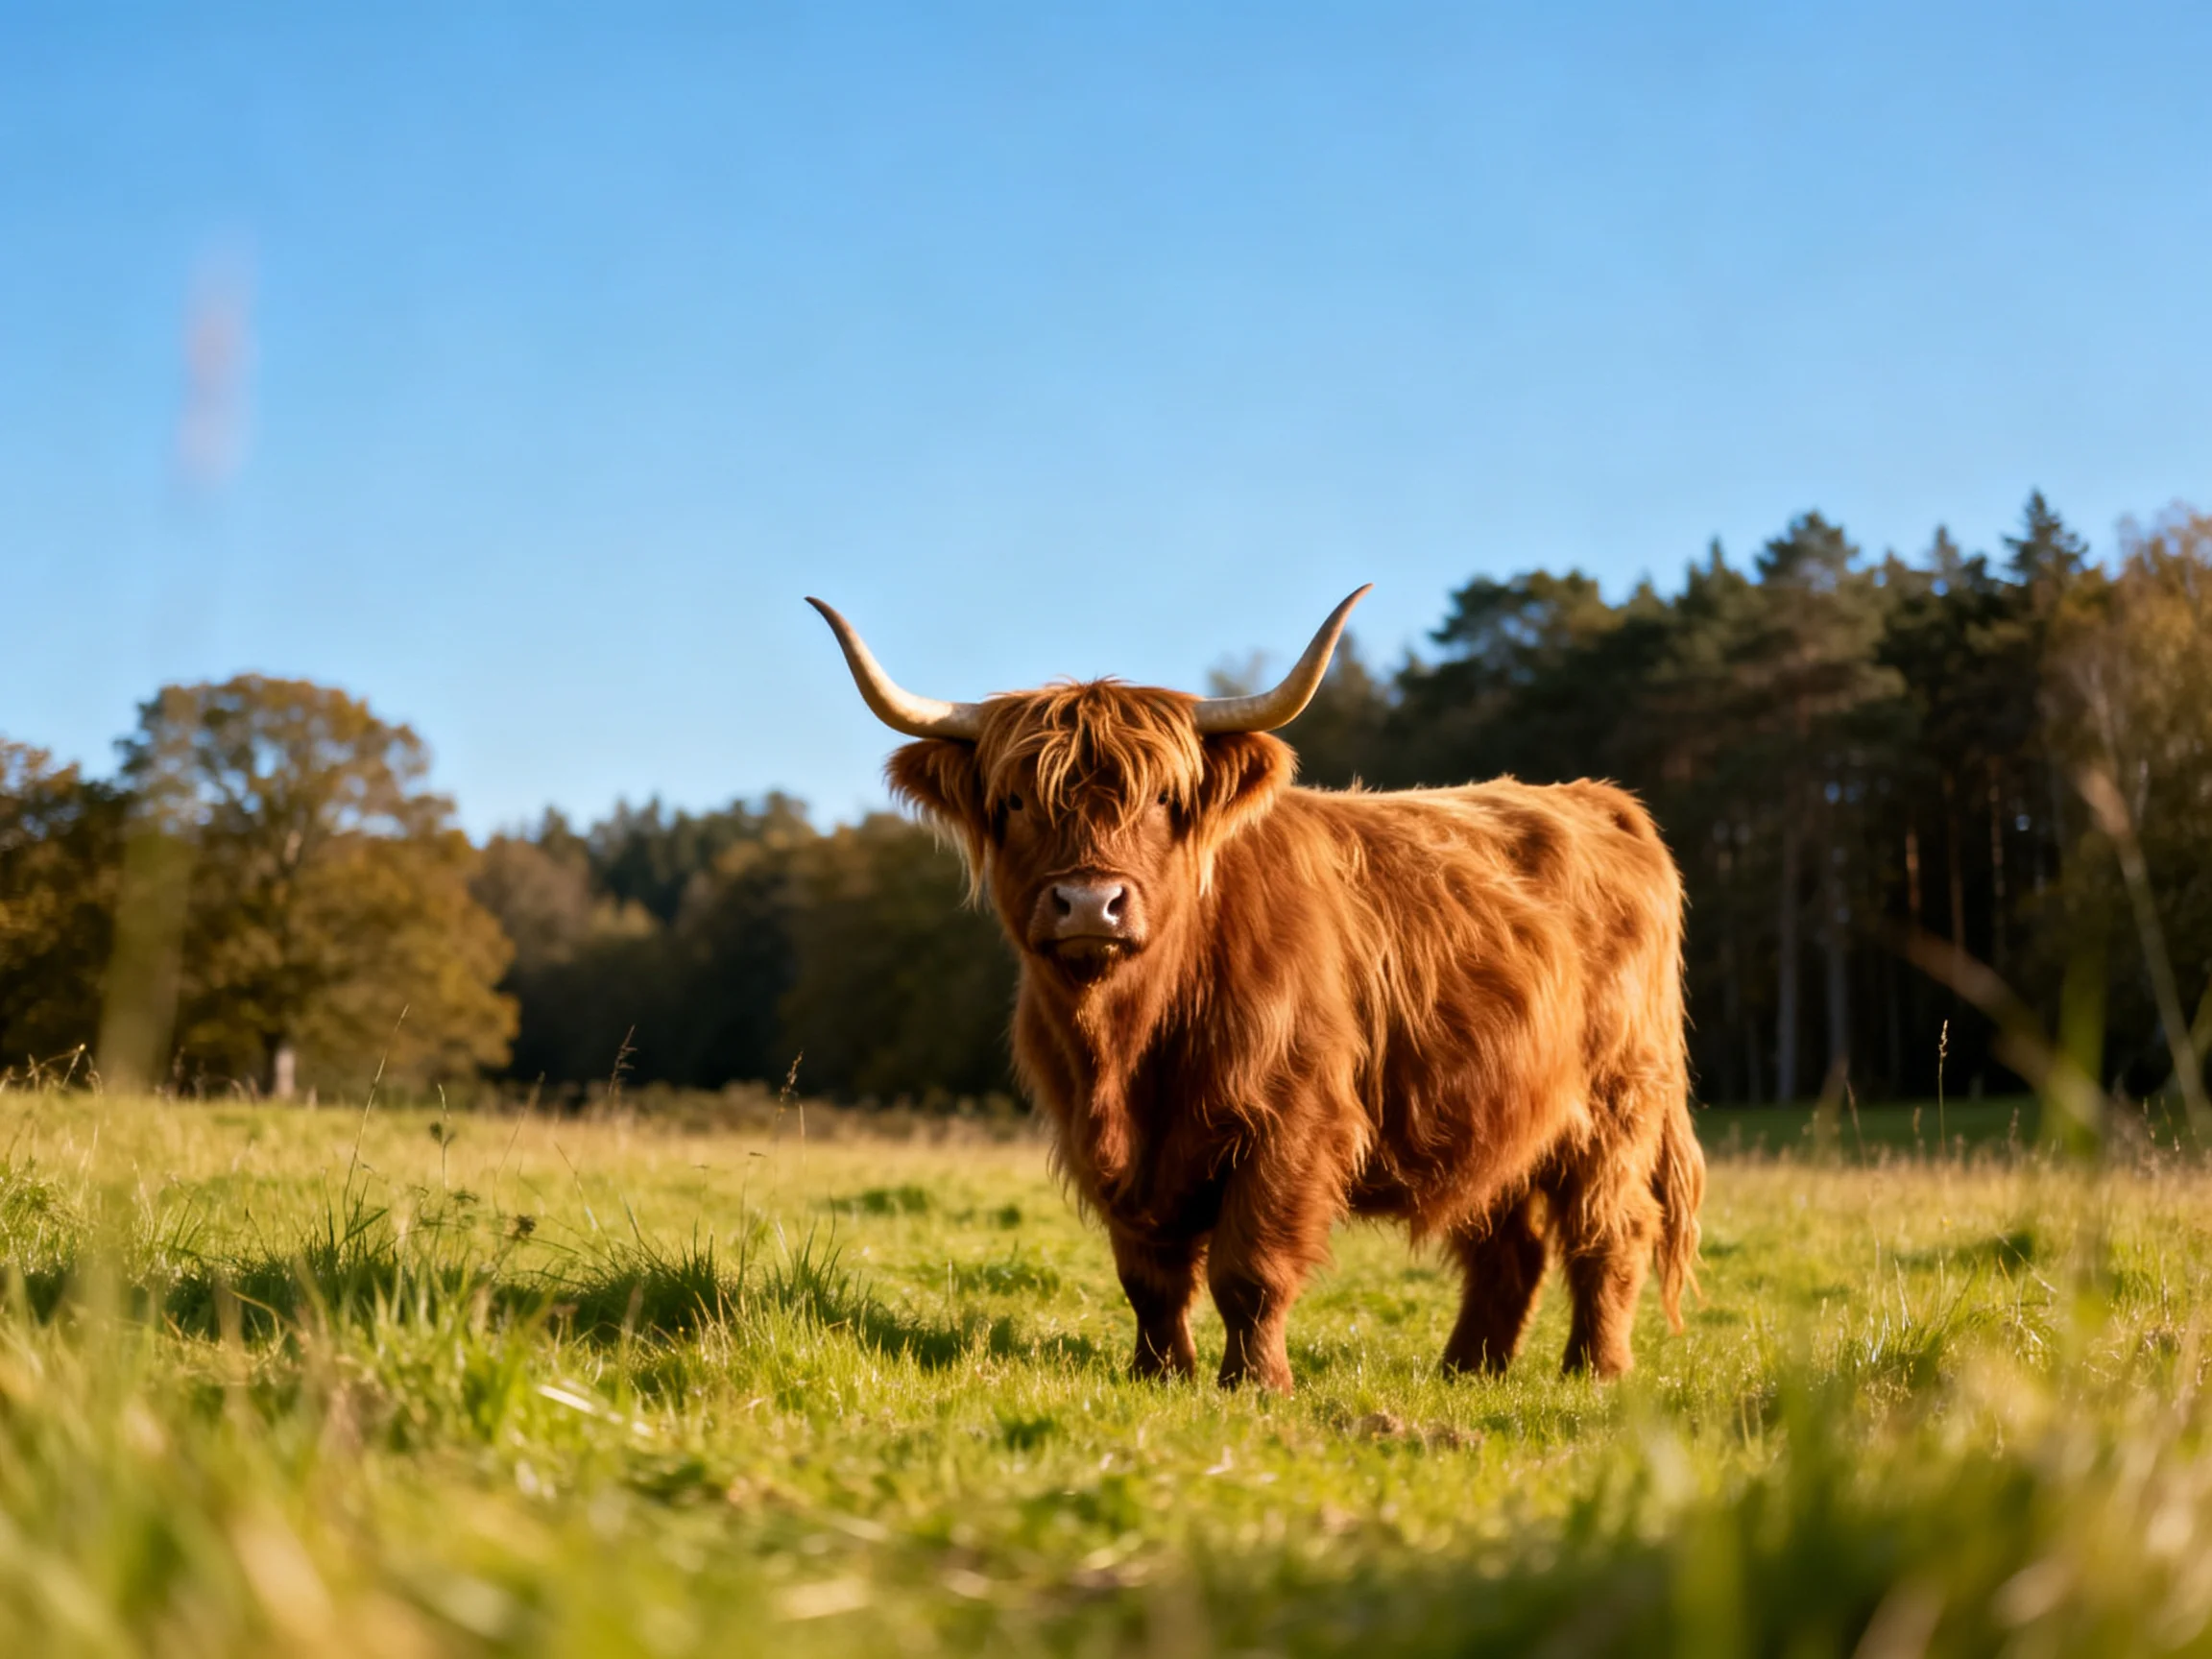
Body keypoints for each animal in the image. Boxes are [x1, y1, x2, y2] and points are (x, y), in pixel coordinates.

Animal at [808, 587, 1702, 1392]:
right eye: (1019, 800)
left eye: (1164, 798)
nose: (1090, 904)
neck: (1131, 1043)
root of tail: (1598, 800)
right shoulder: (1107, 1146)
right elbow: (1150, 1276)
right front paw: (1159, 1374)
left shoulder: (1292, 1120)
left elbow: (1252, 1269)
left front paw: (1256, 1382)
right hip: (1507, 1111)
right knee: (1507, 1241)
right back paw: (1468, 1371)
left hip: (1619, 1101)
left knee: (1611, 1232)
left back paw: (1596, 1370)